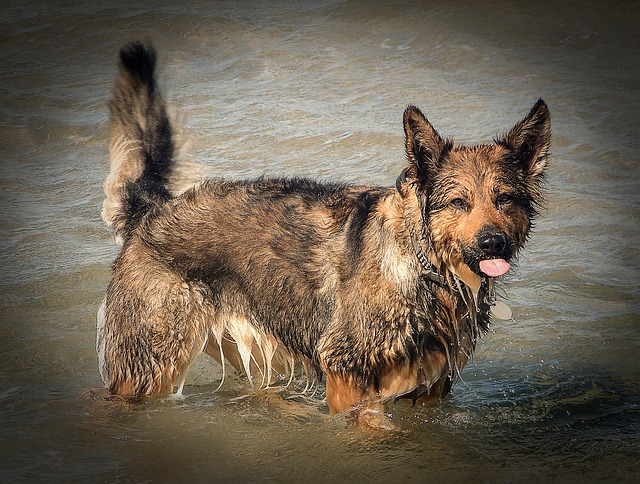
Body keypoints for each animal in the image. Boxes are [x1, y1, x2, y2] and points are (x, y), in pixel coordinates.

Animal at [99, 41, 552, 428]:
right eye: (458, 202)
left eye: (505, 198)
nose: (493, 243)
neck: (423, 266)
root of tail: (154, 207)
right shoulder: (346, 375)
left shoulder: (429, 391)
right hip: (149, 366)